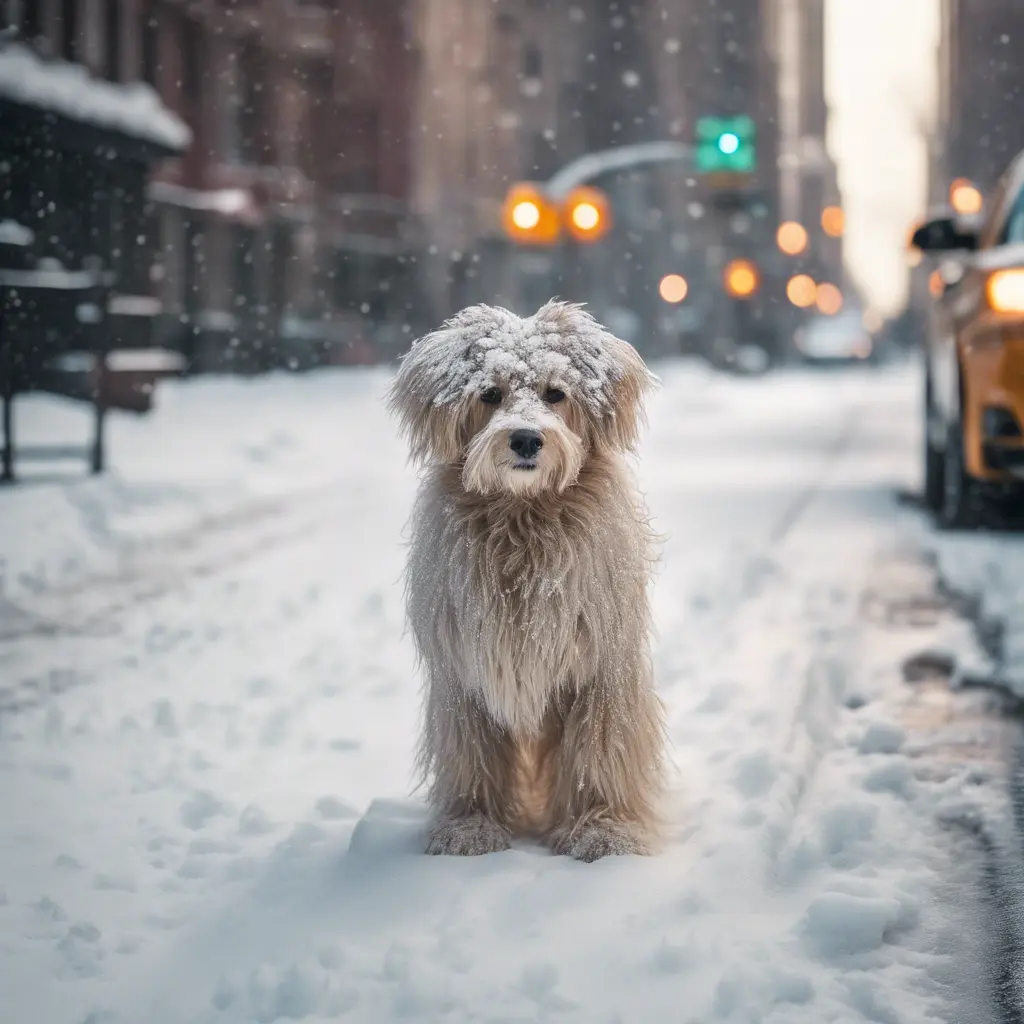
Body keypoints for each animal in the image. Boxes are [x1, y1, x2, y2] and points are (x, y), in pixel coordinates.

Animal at [385, 299, 663, 860]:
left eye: (556, 393)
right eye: (490, 394)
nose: (527, 439)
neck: (523, 520)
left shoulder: (602, 671)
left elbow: (601, 751)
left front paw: (605, 828)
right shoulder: (464, 677)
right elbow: (471, 755)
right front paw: (470, 826)